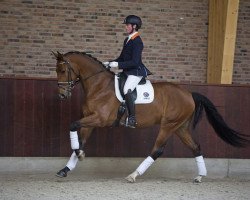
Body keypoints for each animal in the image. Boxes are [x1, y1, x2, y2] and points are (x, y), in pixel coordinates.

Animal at [51, 50, 249, 183]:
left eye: (62, 71)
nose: (62, 95)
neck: (98, 86)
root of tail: (189, 94)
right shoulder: (90, 121)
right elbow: (79, 139)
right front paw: (67, 167)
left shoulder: (100, 119)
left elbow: (72, 125)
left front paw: (80, 154)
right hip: (180, 127)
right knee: (195, 147)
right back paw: (200, 176)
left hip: (168, 125)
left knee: (157, 150)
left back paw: (133, 175)